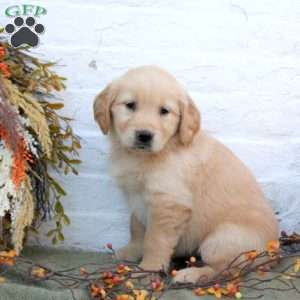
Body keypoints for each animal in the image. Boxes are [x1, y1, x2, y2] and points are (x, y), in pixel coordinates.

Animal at [94, 65, 278, 284]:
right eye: (130, 105)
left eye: (164, 111)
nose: (144, 136)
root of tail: (274, 252)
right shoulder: (136, 197)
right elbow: (136, 227)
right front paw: (132, 251)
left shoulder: (168, 203)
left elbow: (154, 240)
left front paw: (147, 269)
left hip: (220, 240)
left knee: (225, 270)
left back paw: (190, 274)